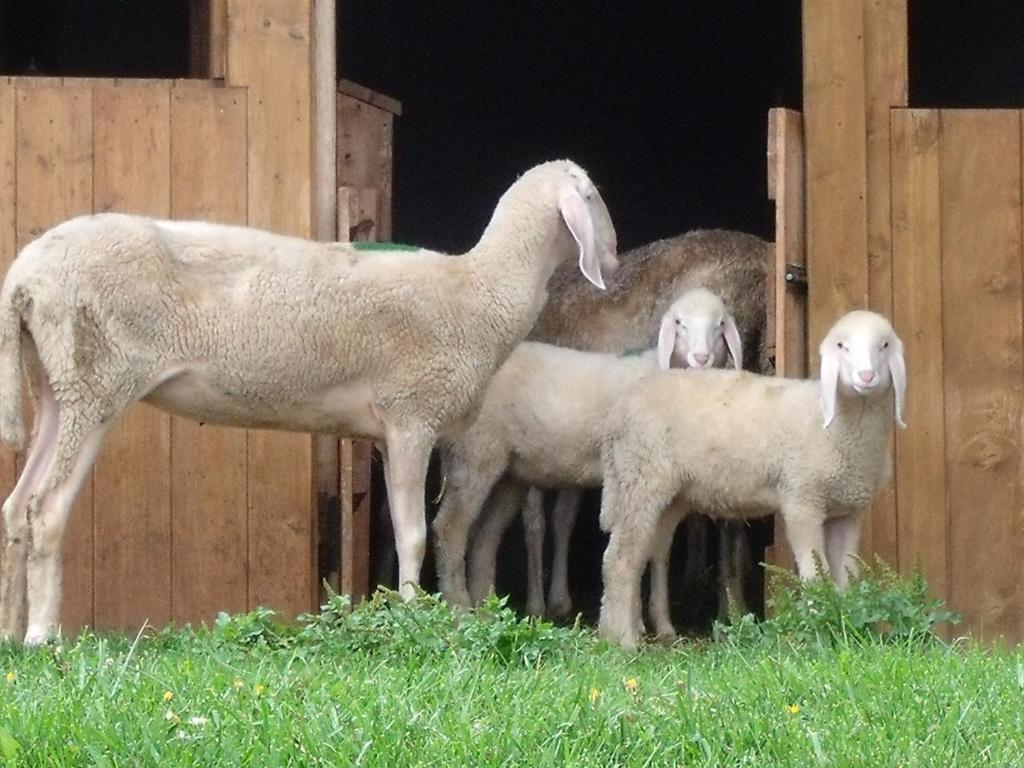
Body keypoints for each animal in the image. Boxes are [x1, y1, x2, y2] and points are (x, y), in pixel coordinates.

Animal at [0, 159, 614, 647]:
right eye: (593, 195)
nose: (611, 253)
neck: (480, 291)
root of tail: (23, 278)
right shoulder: (412, 412)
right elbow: (414, 532)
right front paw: (413, 620)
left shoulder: (388, 430)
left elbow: (398, 526)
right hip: (96, 379)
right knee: (45, 508)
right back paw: (42, 636)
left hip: (56, 383)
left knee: (16, 507)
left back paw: (10, 633)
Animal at [428, 286, 741, 638]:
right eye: (679, 322)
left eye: (719, 323)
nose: (701, 358)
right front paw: (634, 623)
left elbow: (657, 549)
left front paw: (658, 624)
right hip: (475, 453)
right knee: (449, 527)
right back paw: (459, 609)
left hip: (509, 473)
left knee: (484, 537)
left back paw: (486, 612)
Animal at [598, 309, 909, 647]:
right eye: (842, 345)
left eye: (884, 345)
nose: (866, 376)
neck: (836, 425)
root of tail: (620, 408)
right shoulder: (802, 500)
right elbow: (815, 573)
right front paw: (817, 628)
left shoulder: (848, 511)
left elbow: (846, 575)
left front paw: (843, 627)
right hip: (640, 478)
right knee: (620, 558)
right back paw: (624, 640)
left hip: (668, 495)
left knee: (648, 552)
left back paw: (635, 630)